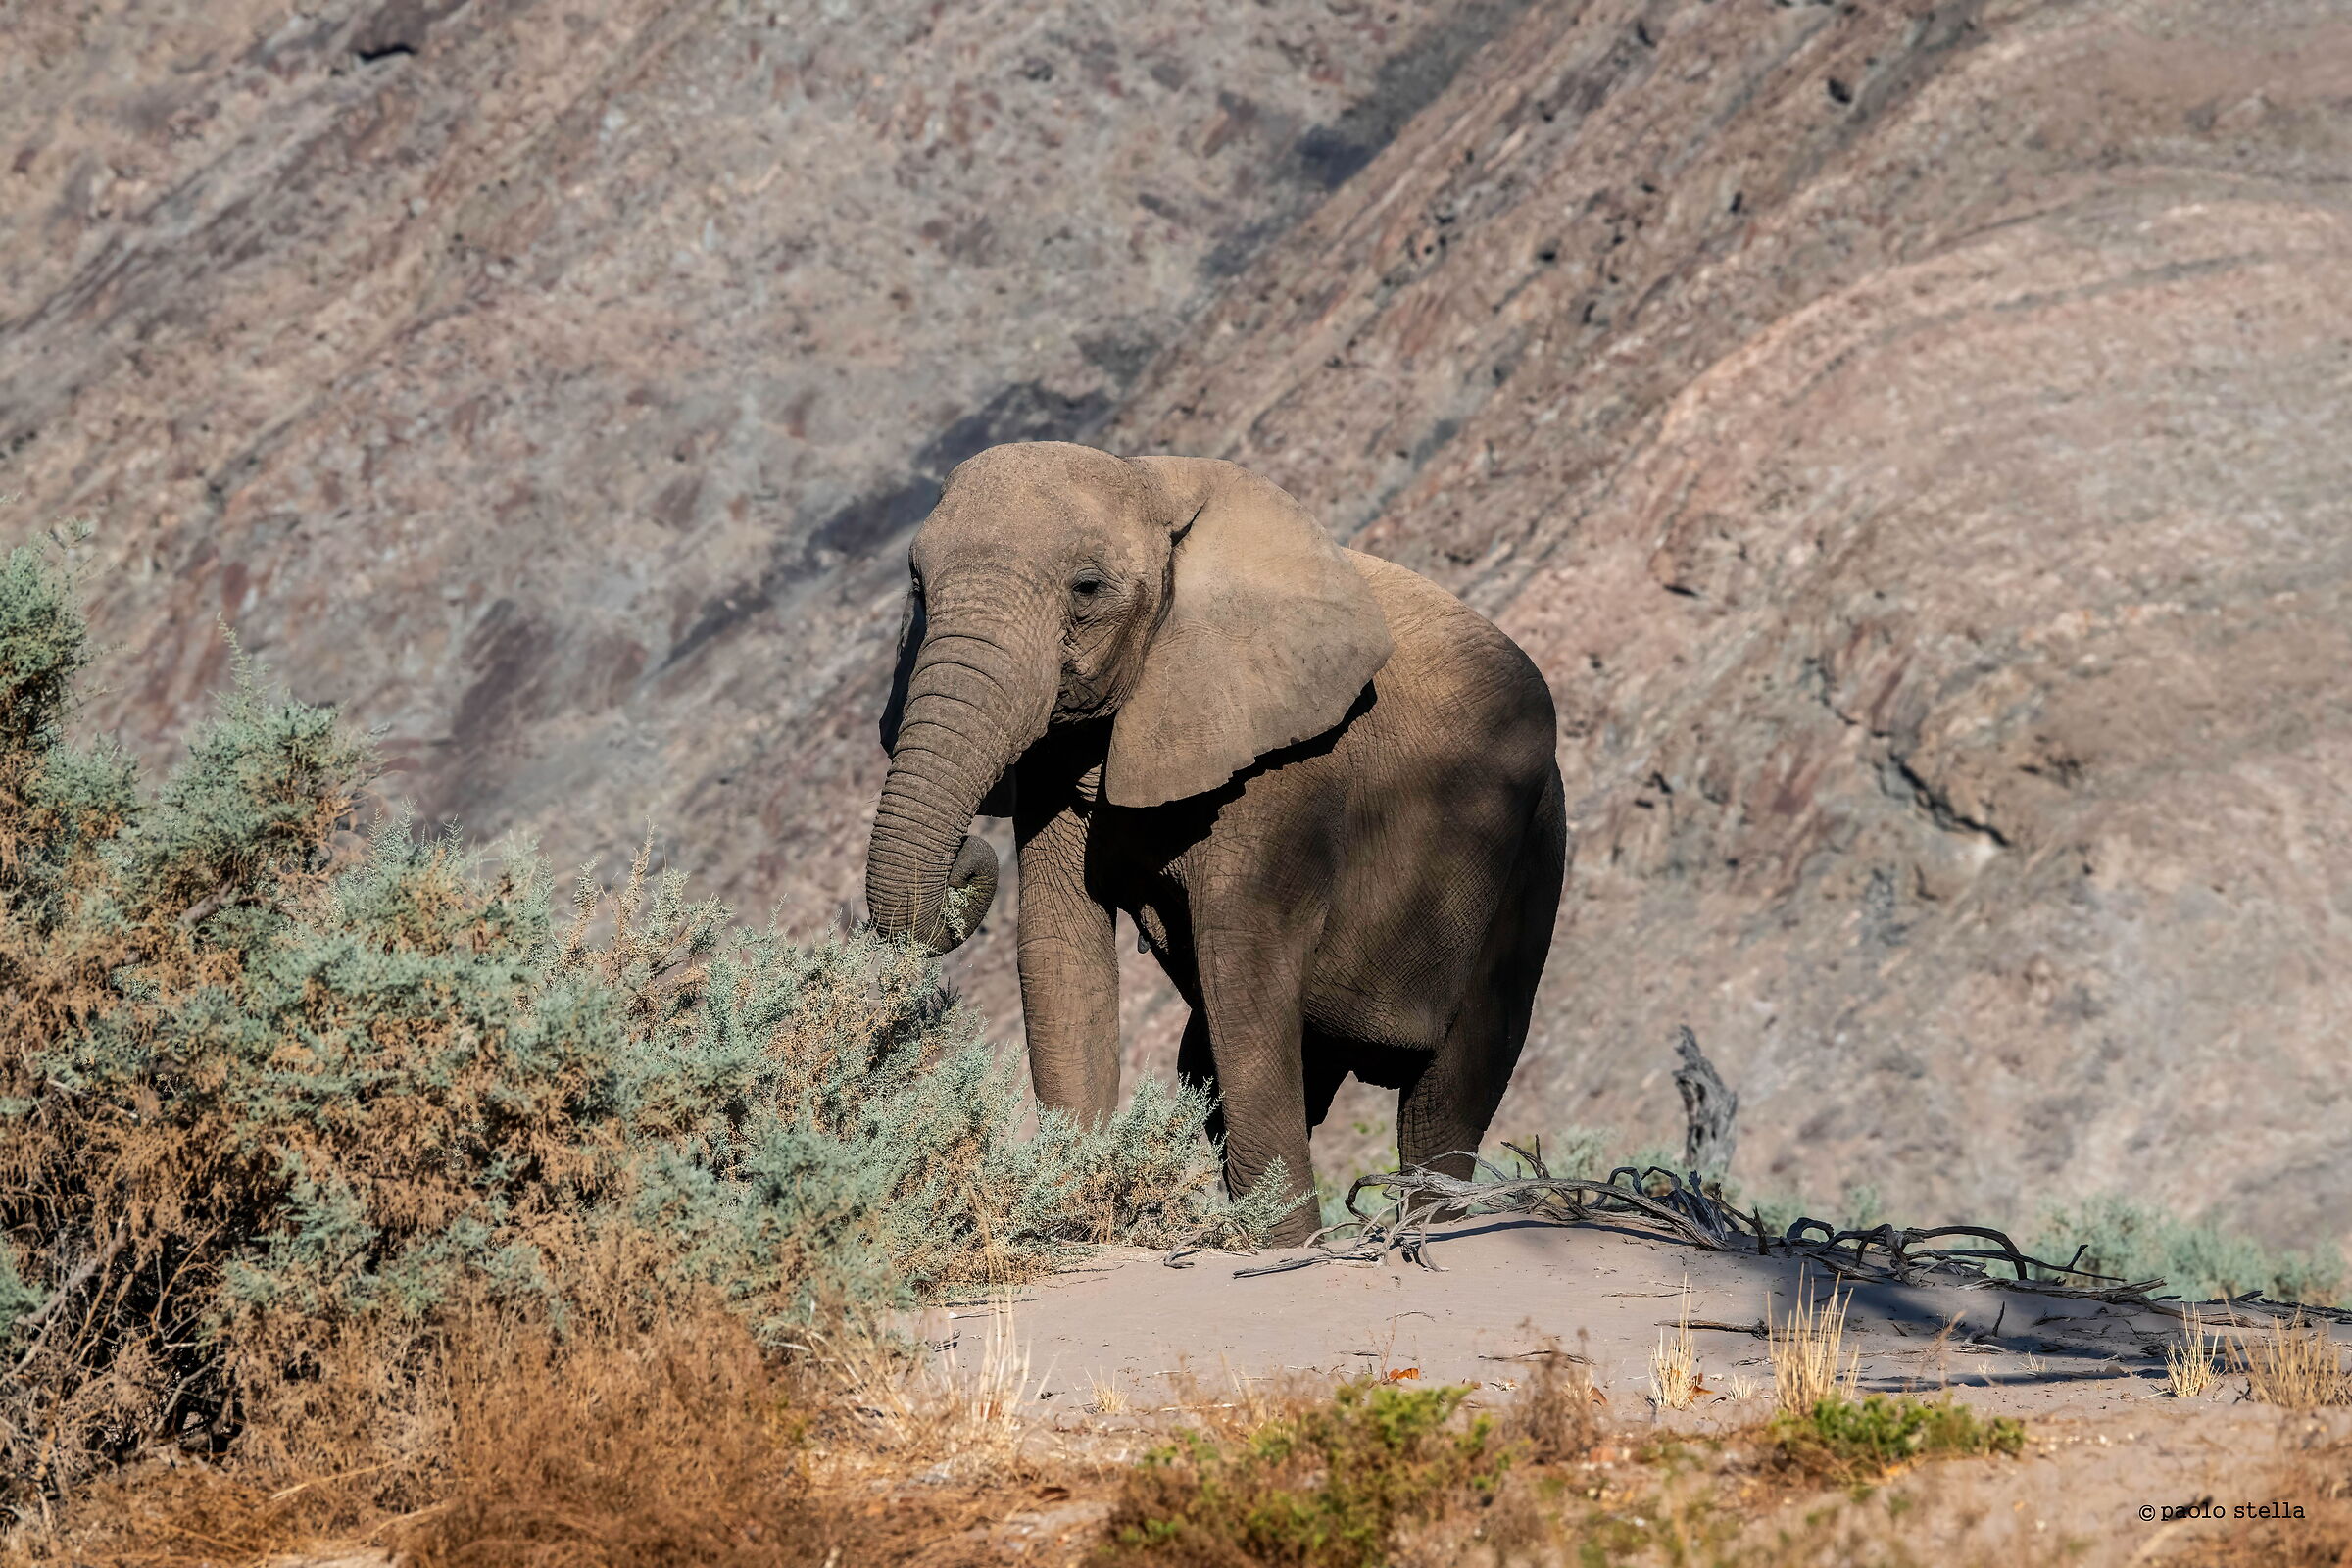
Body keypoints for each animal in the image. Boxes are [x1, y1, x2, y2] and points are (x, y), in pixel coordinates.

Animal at [865, 441, 1567, 1246]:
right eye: (917, 586)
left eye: (1087, 588)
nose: (967, 861)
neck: (1152, 487)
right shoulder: (1055, 764)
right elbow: (1060, 954)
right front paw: (1075, 1229)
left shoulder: (1284, 764)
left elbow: (1244, 969)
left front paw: (1284, 1253)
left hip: (1534, 851)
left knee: (1444, 1100)